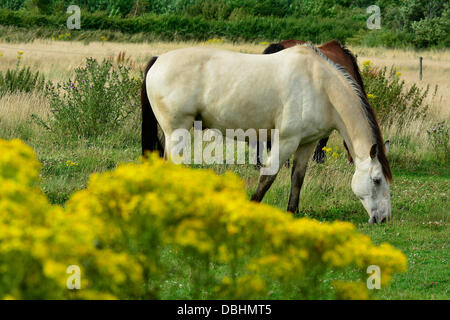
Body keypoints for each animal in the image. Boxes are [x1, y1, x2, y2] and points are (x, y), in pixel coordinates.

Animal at [142, 42, 392, 224]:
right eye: (377, 180)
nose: (383, 219)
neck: (320, 86)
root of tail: (158, 59)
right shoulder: (286, 141)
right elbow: (268, 177)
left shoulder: (307, 143)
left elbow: (297, 177)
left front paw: (292, 212)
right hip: (177, 132)